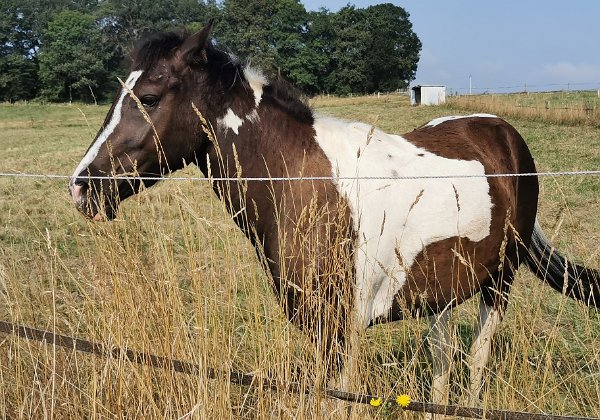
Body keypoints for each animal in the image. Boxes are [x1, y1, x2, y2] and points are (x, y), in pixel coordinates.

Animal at [69, 22, 596, 406]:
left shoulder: (340, 328)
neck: (300, 182)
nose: (82, 186)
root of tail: (503, 132)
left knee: (477, 357)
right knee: (443, 354)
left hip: (500, 279)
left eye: (150, 98)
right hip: (443, 289)